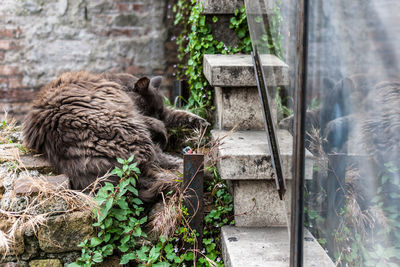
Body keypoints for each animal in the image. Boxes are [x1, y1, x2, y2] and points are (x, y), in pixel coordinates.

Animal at [23, 71, 209, 203]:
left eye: (158, 110)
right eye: (148, 109)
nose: (157, 117)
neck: (117, 83)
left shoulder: (165, 115)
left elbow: (179, 114)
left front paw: (202, 123)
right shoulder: (138, 115)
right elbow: (159, 122)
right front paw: (162, 129)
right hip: (132, 132)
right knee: (160, 162)